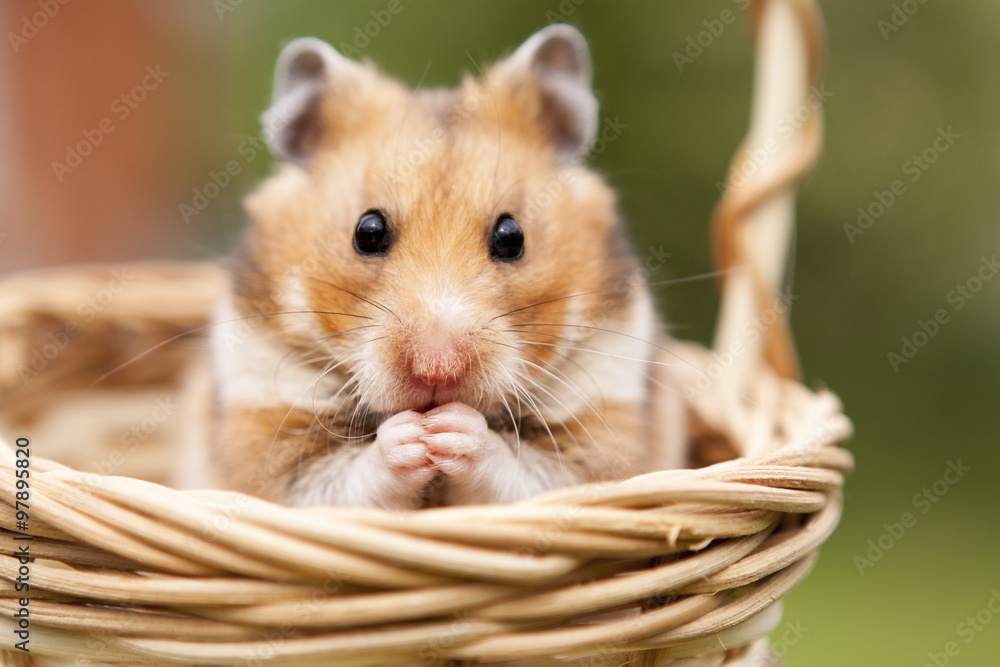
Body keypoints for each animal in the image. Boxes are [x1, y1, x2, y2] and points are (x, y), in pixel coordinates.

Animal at [204, 24, 688, 509]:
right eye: (367, 231)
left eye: (512, 237)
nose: (437, 369)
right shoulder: (266, 437)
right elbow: (337, 481)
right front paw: (414, 436)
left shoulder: (601, 436)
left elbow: (528, 474)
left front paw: (450, 430)